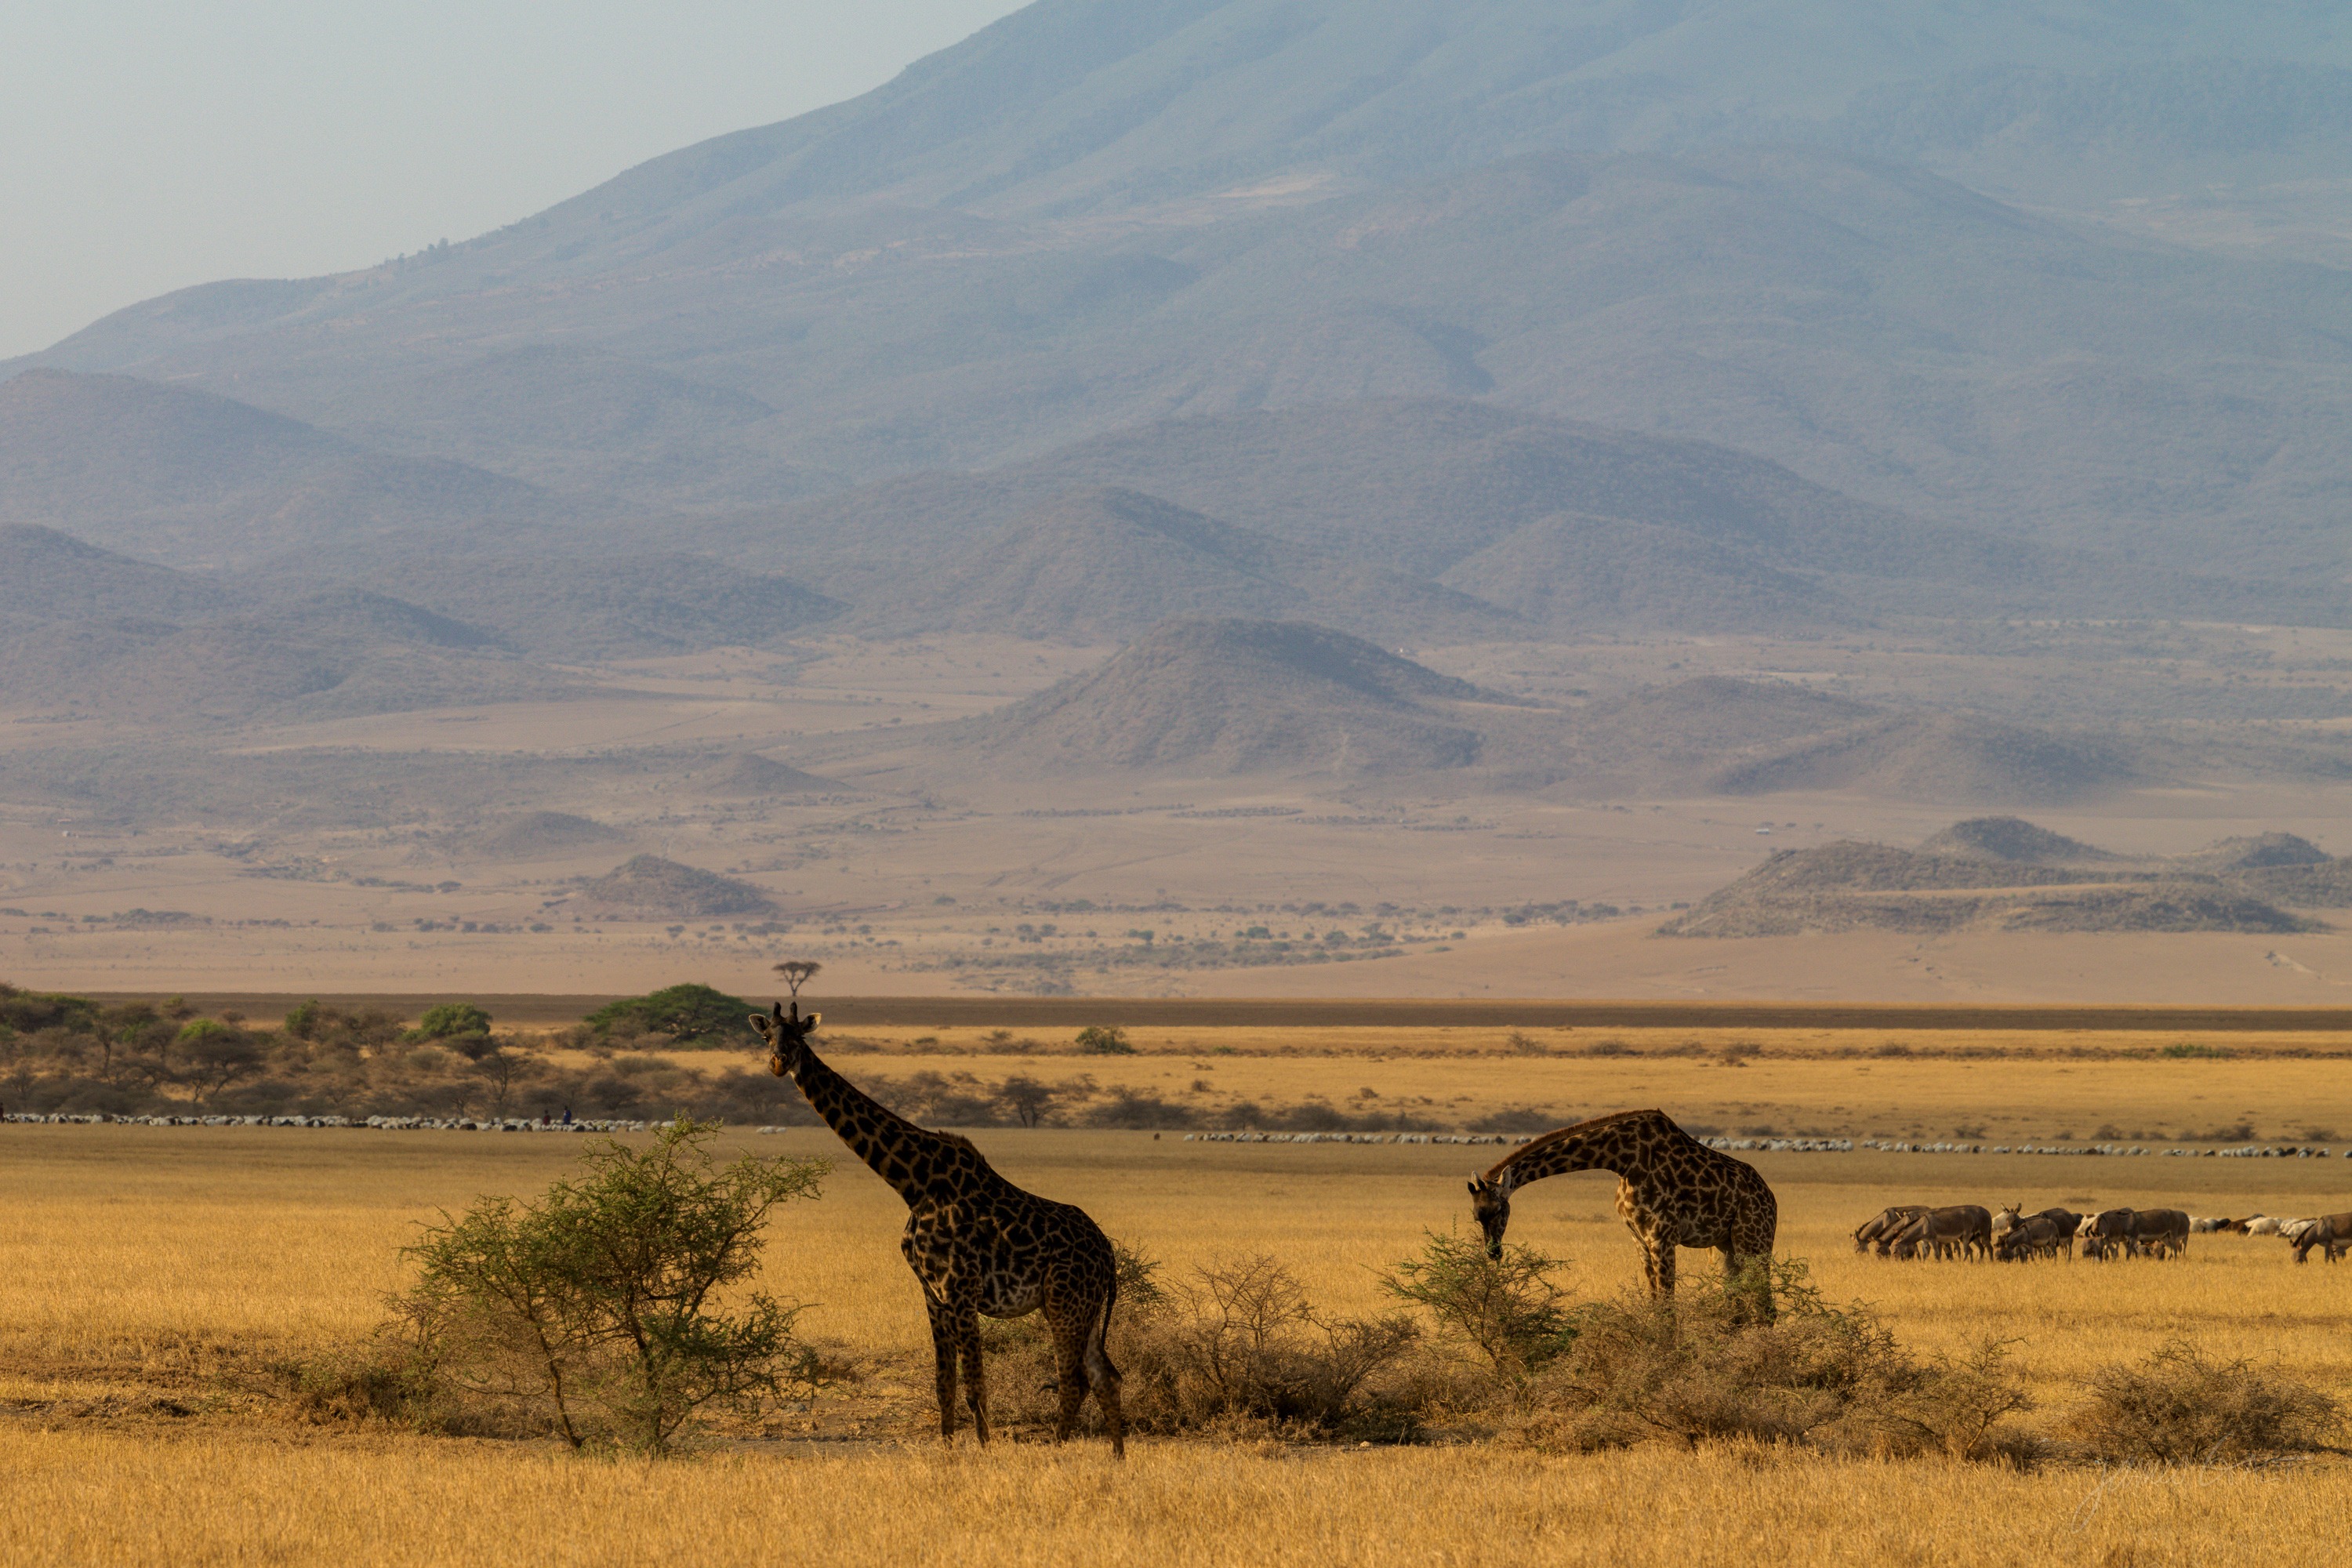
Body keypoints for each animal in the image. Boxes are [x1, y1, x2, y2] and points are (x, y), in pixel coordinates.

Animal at [749, 1000, 1125, 1455]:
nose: (778, 1063)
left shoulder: (961, 1290)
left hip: (1064, 1303)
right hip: (1085, 1307)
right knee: (1105, 1377)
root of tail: (1107, 1253)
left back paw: (1056, 1451)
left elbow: (975, 1385)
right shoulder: (933, 1293)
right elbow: (944, 1384)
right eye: (766, 1035)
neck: (914, 1184)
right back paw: (1118, 1458)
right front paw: (948, 1451)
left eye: (798, 1037)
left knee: (1073, 1382)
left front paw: (985, 1451)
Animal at [1466, 1108, 1778, 1316]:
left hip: (1754, 1241)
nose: (1493, 1252)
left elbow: (1668, 1308)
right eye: (1476, 1215)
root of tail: (1770, 1198)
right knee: (1737, 1306)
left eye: (1497, 1210)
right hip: (1725, 1247)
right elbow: (1656, 1306)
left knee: (1766, 1306)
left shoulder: (1662, 1237)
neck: (1622, 1159)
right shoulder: (1640, 1240)